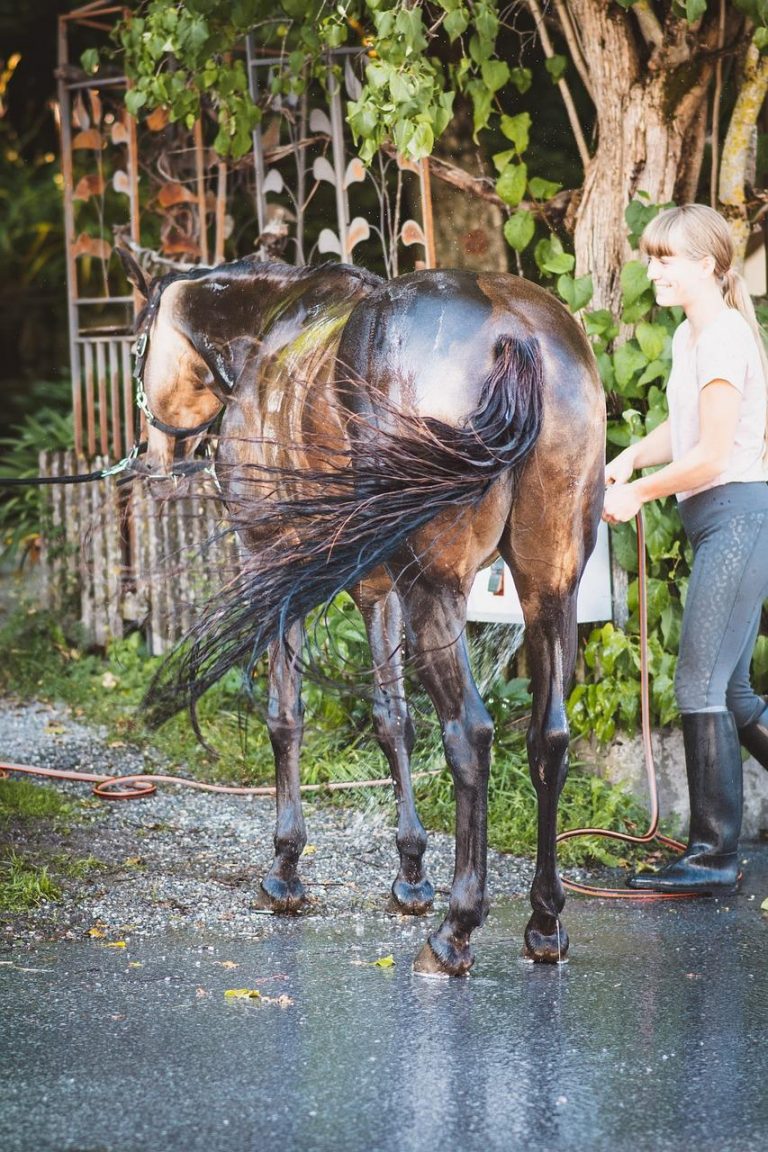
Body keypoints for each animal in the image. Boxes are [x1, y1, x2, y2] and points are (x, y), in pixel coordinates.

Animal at [118, 250, 605, 976]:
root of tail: (517, 334)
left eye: (139, 343)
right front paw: (410, 873)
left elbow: (284, 716)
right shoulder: (377, 587)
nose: (155, 458)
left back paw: (458, 930)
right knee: (547, 739)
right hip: (552, 588)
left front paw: (286, 869)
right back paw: (544, 921)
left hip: (439, 587)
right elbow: (391, 719)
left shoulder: (276, 565)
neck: (267, 334)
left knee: (469, 733)